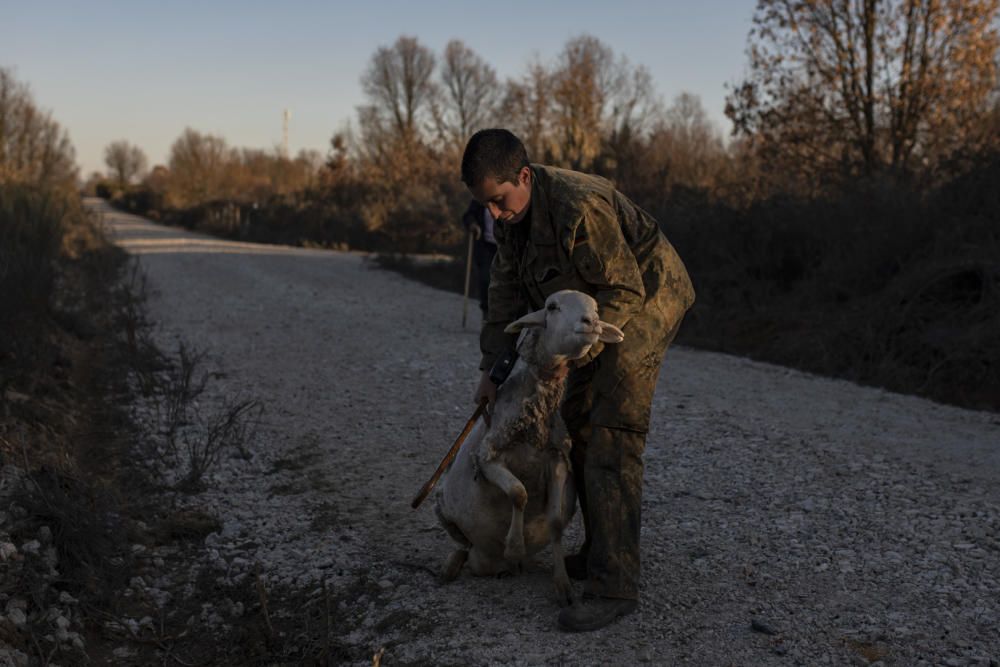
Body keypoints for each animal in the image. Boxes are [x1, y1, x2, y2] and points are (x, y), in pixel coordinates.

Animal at [432, 288, 620, 604]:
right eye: (552, 307)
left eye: (596, 308)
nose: (591, 322)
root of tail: (485, 561)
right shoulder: (488, 458)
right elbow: (519, 493)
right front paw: (514, 546)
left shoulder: (557, 460)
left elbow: (555, 520)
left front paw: (563, 585)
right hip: (441, 505)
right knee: (463, 545)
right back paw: (453, 566)